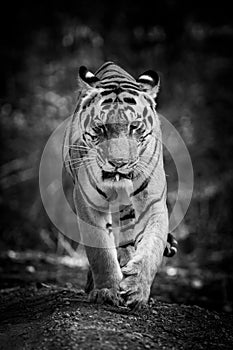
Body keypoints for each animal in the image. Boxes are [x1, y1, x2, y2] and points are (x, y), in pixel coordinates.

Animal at [62, 60, 177, 308]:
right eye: (101, 128)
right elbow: (100, 252)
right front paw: (107, 291)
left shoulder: (152, 203)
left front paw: (137, 289)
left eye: (134, 127)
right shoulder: (87, 201)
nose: (118, 163)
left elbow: (151, 248)